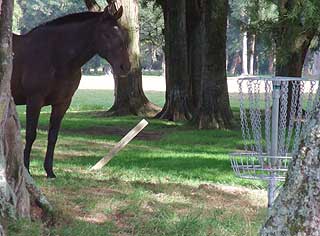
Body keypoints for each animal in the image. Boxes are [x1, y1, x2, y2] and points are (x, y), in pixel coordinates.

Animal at [11, 5, 131, 177]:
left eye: (123, 34)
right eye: (107, 34)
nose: (125, 67)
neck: (55, 55)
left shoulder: (62, 103)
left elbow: (53, 136)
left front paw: (50, 171)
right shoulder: (34, 100)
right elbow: (30, 134)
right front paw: (26, 169)